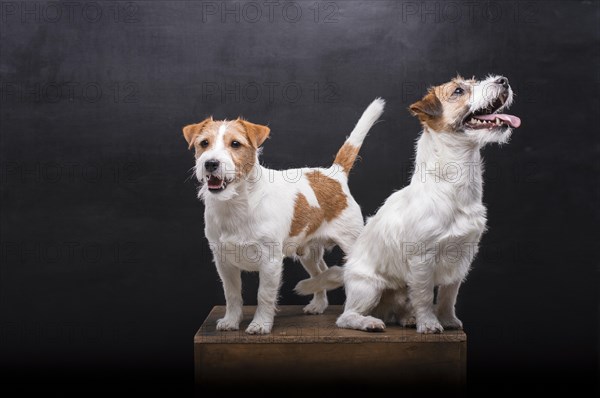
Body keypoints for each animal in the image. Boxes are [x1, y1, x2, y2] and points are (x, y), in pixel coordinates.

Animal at [182, 98, 384, 334]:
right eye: (204, 143)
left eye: (235, 144)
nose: (211, 163)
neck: (236, 204)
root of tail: (334, 174)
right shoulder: (224, 263)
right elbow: (231, 295)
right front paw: (231, 321)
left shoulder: (270, 262)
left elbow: (264, 295)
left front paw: (260, 324)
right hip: (308, 252)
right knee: (321, 270)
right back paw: (318, 302)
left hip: (351, 242)